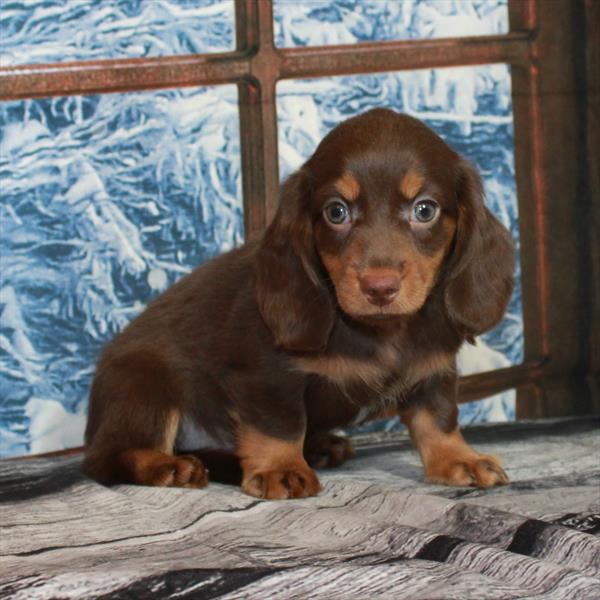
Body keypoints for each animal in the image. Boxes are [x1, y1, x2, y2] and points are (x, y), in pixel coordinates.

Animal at [83, 106, 516, 496]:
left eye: (425, 209)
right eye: (336, 212)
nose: (379, 287)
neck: (378, 330)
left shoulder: (433, 370)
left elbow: (438, 418)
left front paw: (457, 459)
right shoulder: (267, 375)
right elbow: (280, 423)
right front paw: (281, 469)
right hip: (144, 384)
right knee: (109, 458)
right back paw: (168, 466)